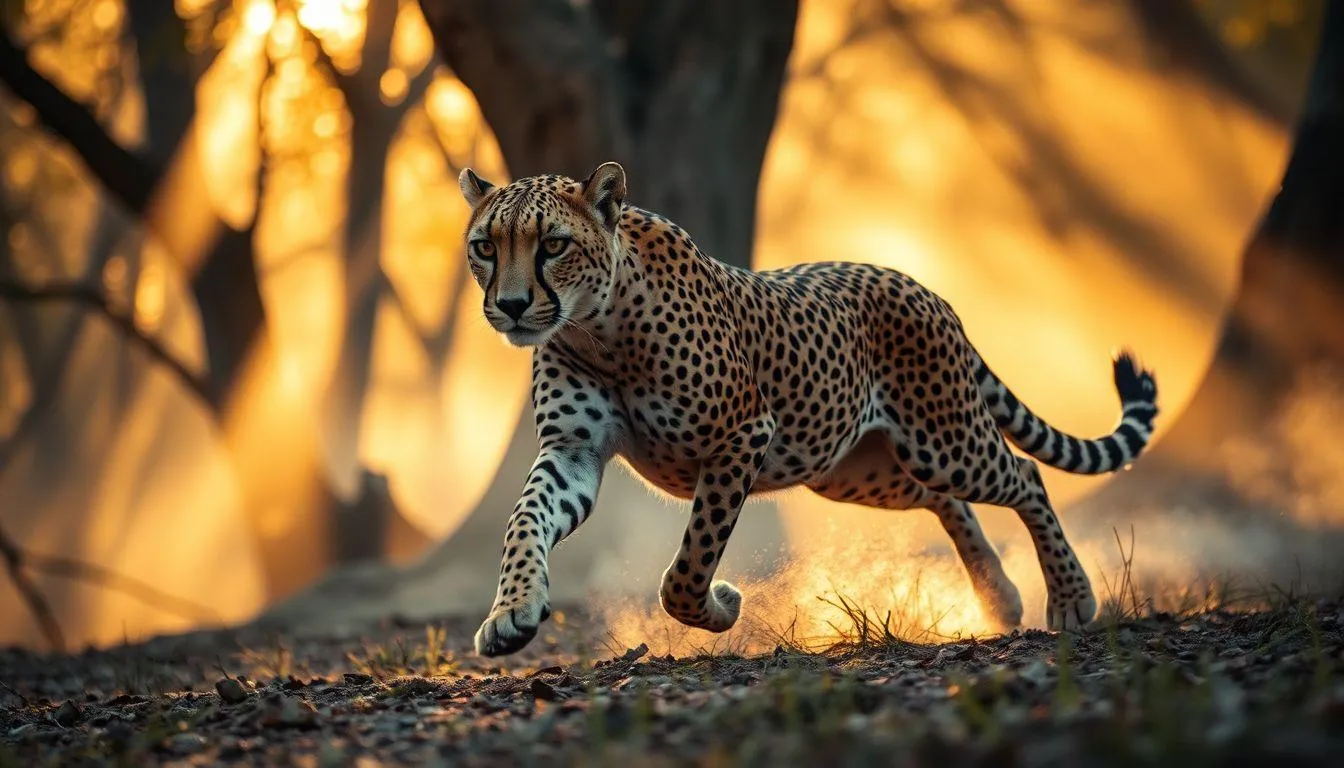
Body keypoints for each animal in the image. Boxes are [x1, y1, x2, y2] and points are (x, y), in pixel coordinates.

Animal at [456, 161, 1159, 657]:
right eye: (485, 246)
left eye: (551, 245)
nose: (511, 306)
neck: (596, 326)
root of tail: (919, 285)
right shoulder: (572, 451)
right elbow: (526, 520)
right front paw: (511, 613)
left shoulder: (742, 435)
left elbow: (690, 565)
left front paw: (722, 606)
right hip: (855, 470)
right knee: (945, 500)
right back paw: (1001, 597)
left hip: (945, 440)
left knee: (1026, 476)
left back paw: (1069, 598)